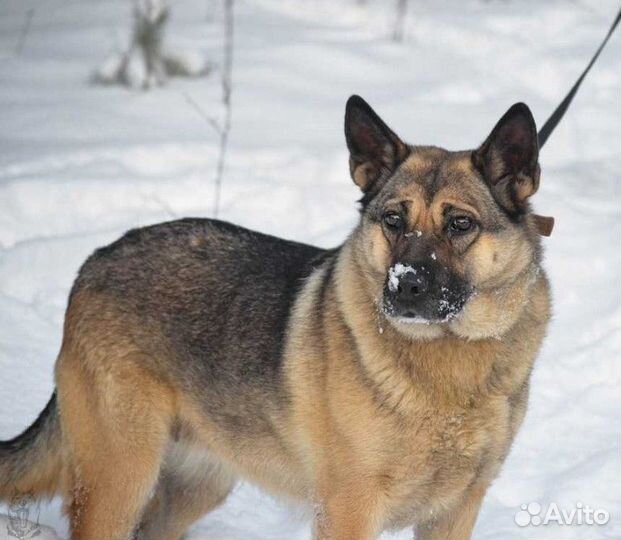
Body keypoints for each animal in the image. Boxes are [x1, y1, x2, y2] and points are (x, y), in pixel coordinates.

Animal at [1, 97, 552, 540]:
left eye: (460, 224)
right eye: (393, 220)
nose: (405, 286)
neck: (448, 368)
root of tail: (95, 260)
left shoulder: (454, 512)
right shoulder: (347, 510)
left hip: (196, 485)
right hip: (121, 478)